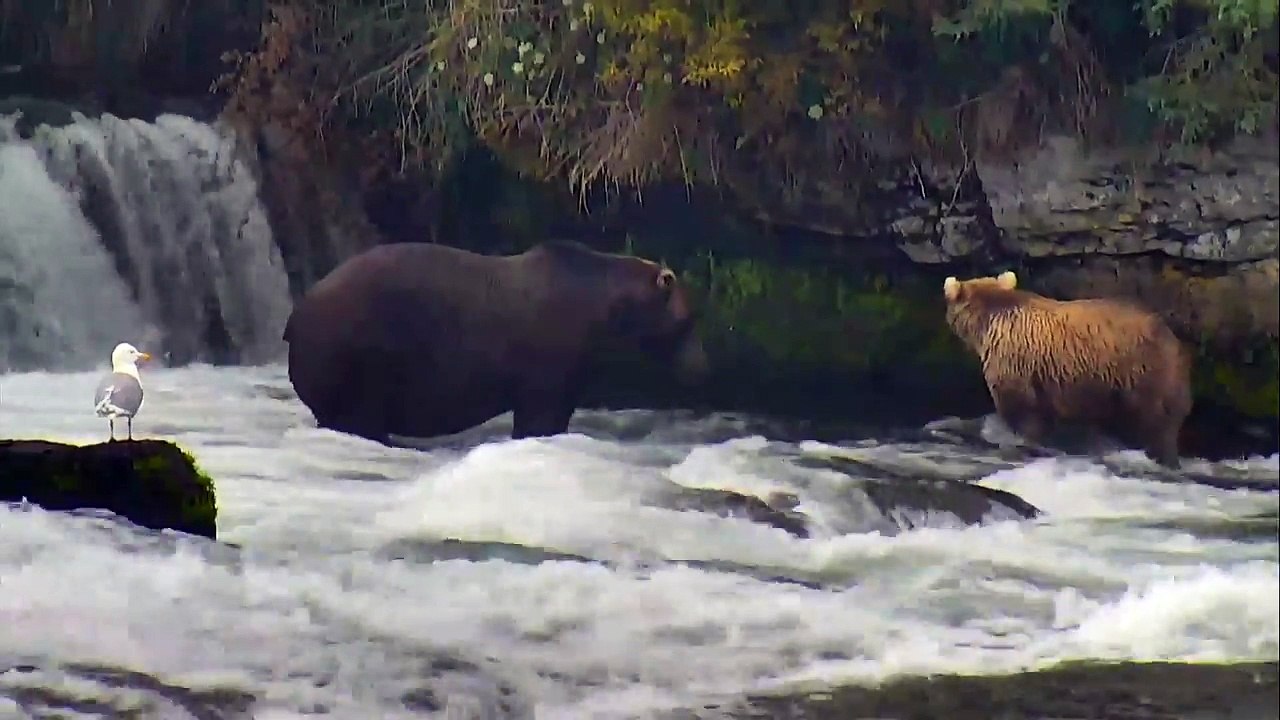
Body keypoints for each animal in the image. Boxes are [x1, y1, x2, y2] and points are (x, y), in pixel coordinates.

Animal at [283, 240, 709, 444]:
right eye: (689, 321)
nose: (702, 366)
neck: (601, 312)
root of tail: (298, 310)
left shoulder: (574, 364)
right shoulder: (548, 354)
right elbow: (540, 414)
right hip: (357, 350)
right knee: (361, 412)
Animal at [942, 270, 1192, 468]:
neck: (989, 318)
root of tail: (1170, 336)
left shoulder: (1013, 358)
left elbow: (1020, 405)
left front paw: (1022, 439)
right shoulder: (1044, 376)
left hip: (1140, 370)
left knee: (1154, 419)